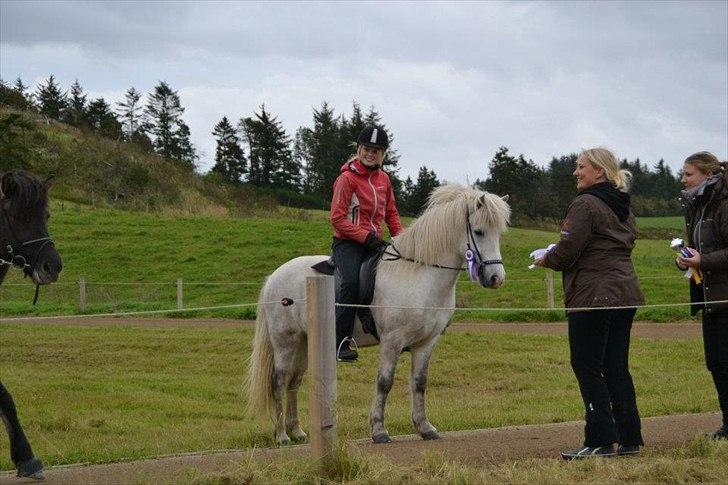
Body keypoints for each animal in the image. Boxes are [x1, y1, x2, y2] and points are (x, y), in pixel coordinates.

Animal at [247, 184, 510, 442]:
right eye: (478, 232)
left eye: (498, 233)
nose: (496, 278)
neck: (418, 275)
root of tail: (274, 277)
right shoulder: (391, 342)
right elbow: (385, 383)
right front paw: (379, 430)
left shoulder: (426, 342)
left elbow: (419, 383)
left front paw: (424, 427)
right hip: (286, 341)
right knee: (279, 382)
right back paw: (282, 435)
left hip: (304, 343)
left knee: (294, 382)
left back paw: (297, 432)